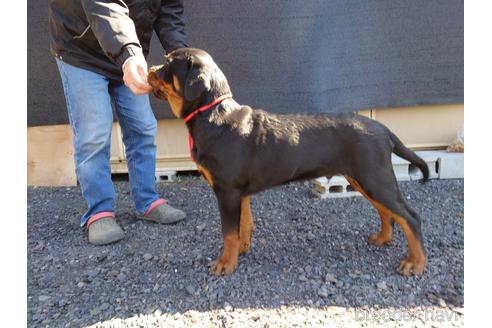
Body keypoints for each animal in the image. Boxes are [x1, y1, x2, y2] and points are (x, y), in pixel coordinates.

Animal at [148, 46, 428, 276]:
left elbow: (228, 232)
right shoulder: (238, 191)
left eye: (167, 64)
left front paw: (225, 264)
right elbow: (244, 224)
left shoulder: (226, 190)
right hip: (363, 179)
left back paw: (415, 263)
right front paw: (242, 249)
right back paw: (383, 238)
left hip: (374, 178)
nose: (149, 69)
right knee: (387, 213)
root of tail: (383, 128)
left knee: (410, 216)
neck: (211, 115)